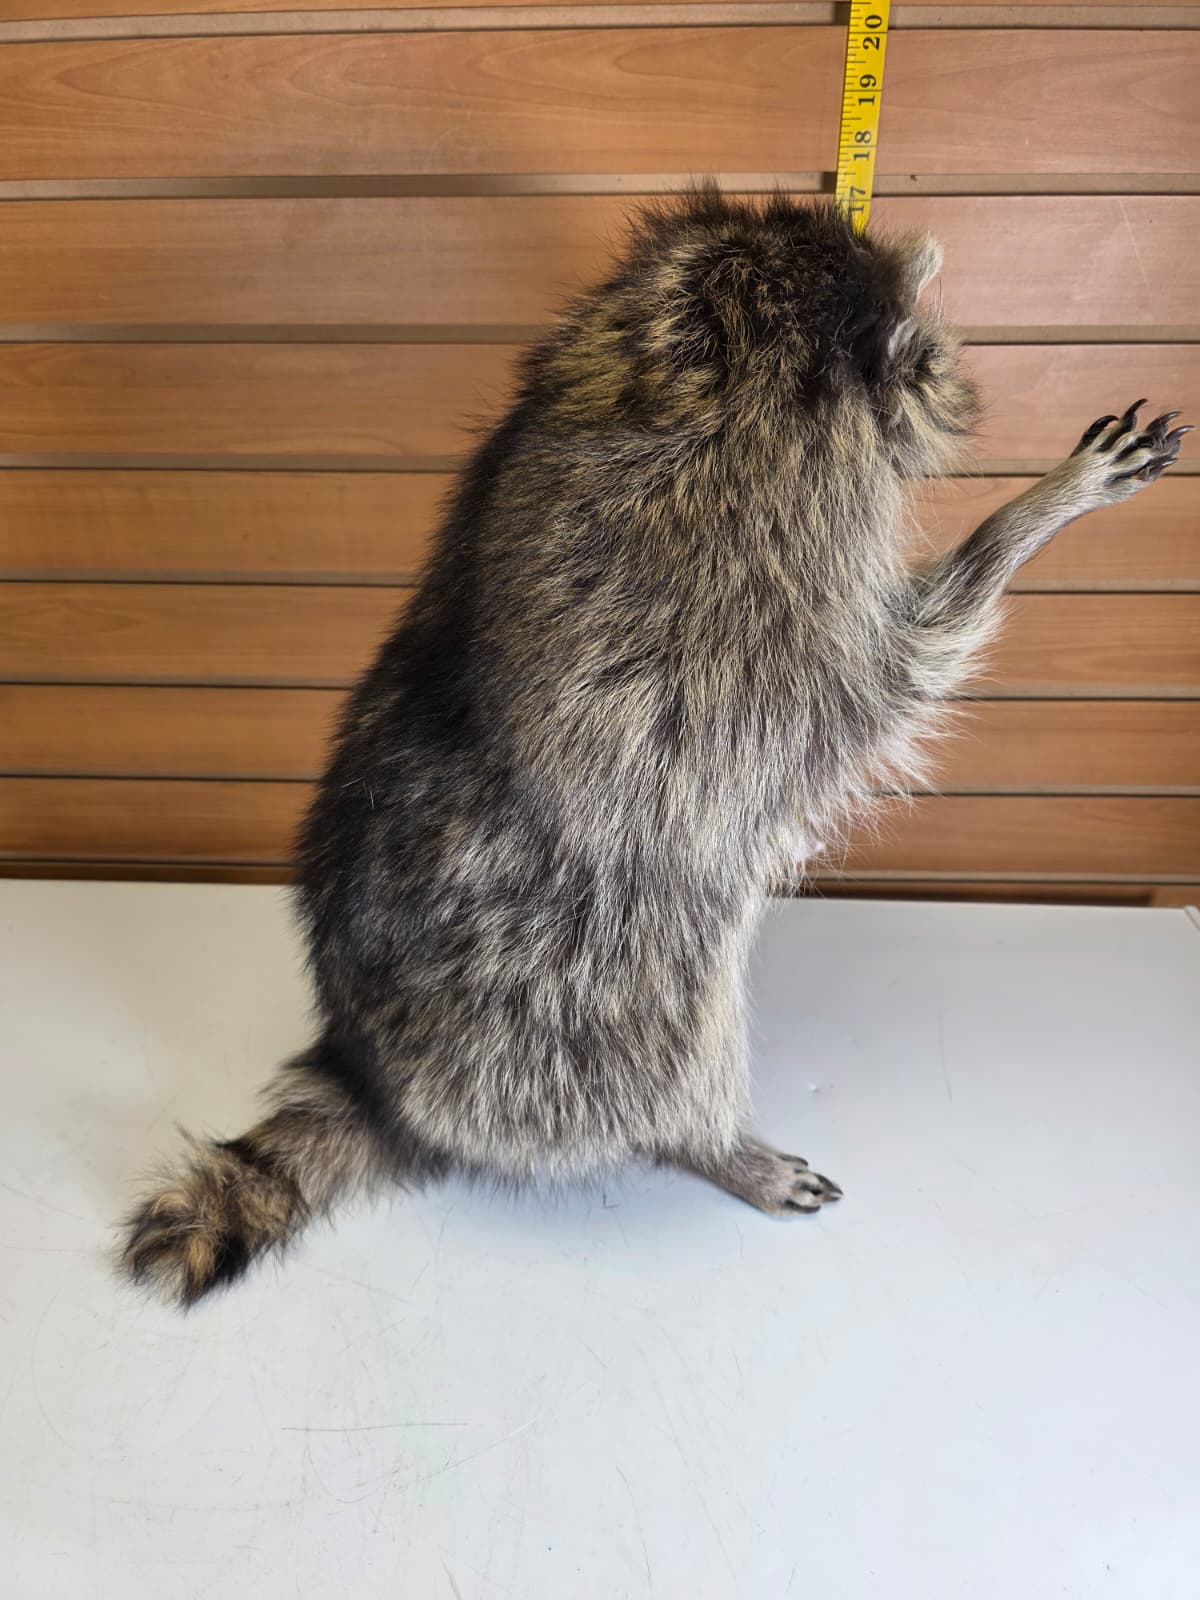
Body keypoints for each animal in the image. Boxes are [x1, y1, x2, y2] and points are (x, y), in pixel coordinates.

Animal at [120, 188, 1188, 1306]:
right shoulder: (761, 593)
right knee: (677, 1016)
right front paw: (1034, 513)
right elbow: (904, 663)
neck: (699, 357)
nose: (963, 382)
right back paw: (711, 1138)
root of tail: (371, 1072)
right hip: (567, 1000)